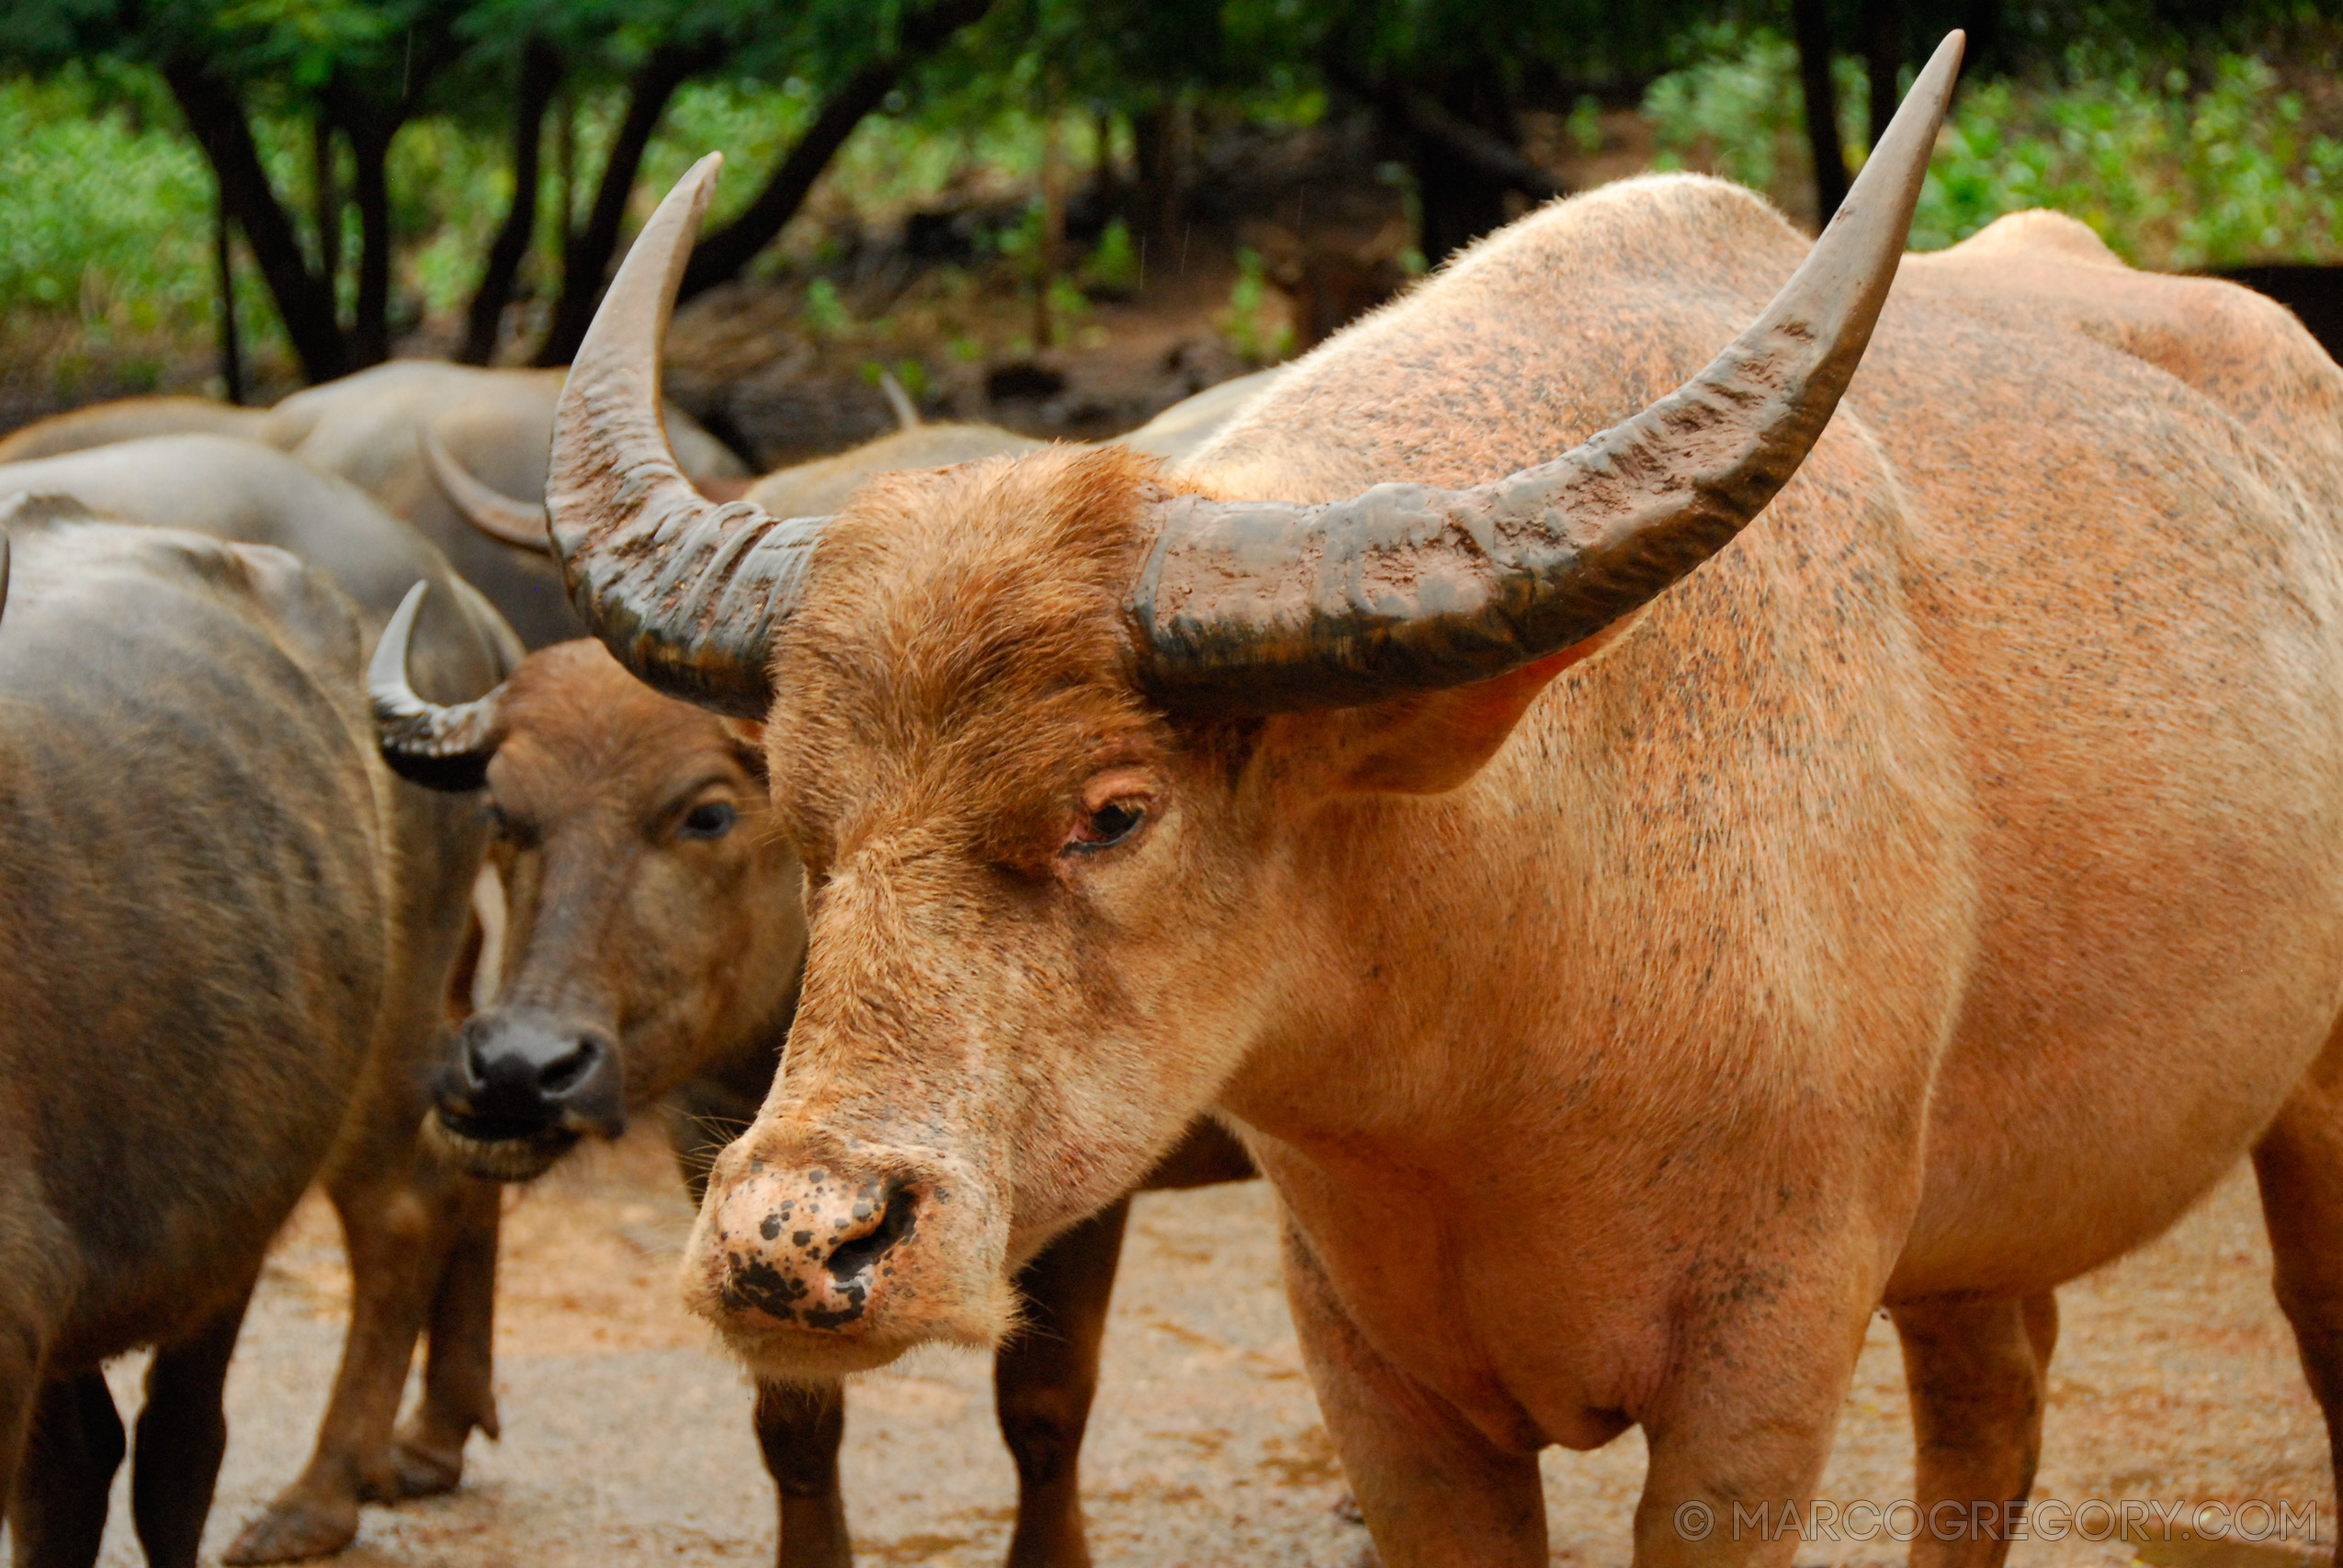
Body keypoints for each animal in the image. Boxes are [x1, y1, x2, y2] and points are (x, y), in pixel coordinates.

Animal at [365, 592, 1255, 1556]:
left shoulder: (1089, 1190)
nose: (518, 1070)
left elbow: (1043, 1411)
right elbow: (793, 1424)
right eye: (501, 814)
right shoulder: (723, 1170)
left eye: (708, 815)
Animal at [531, 36, 2343, 1565]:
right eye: (802, 822)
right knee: (1991, 1414)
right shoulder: (1380, 1384)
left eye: (1111, 810)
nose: (791, 1243)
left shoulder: (1760, 1371)